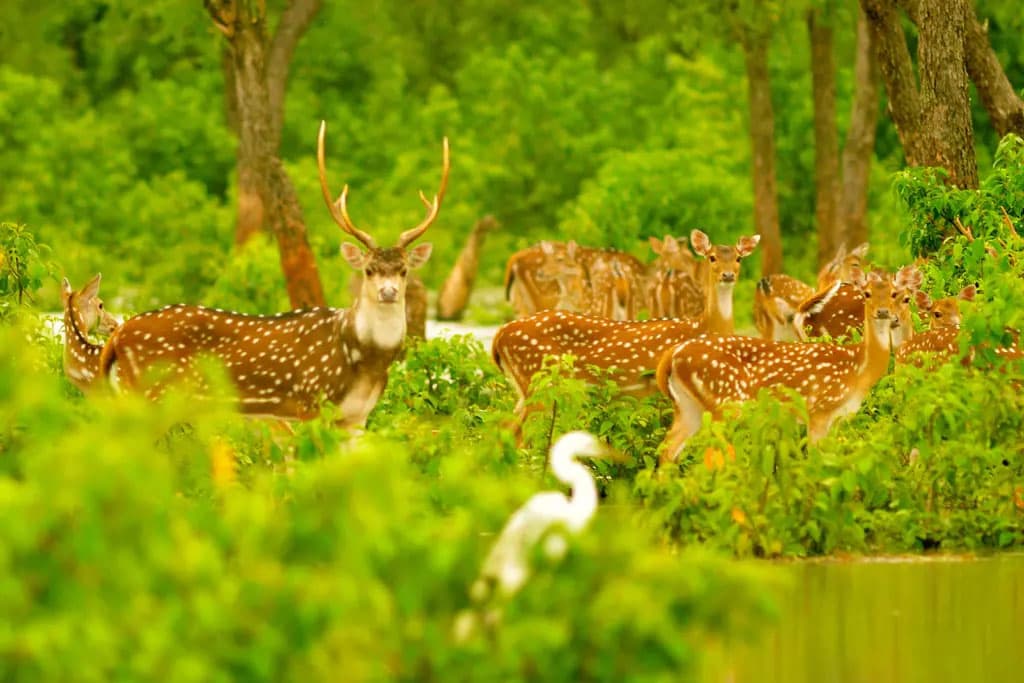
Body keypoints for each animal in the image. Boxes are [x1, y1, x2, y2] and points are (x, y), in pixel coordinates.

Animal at [98, 120, 448, 423]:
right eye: (369, 270)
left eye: (403, 270)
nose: (388, 291)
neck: (364, 359)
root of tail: (116, 337)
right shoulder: (310, 403)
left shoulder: (356, 417)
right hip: (151, 391)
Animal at [495, 229, 761, 432]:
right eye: (712, 257)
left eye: (739, 258)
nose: (728, 275)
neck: (704, 325)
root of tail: (498, 336)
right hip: (539, 381)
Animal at [655, 266, 905, 464]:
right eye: (867, 293)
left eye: (894, 294)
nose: (884, 312)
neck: (859, 368)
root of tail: (672, 356)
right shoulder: (819, 409)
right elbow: (814, 458)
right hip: (724, 401)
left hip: (689, 406)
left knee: (669, 449)